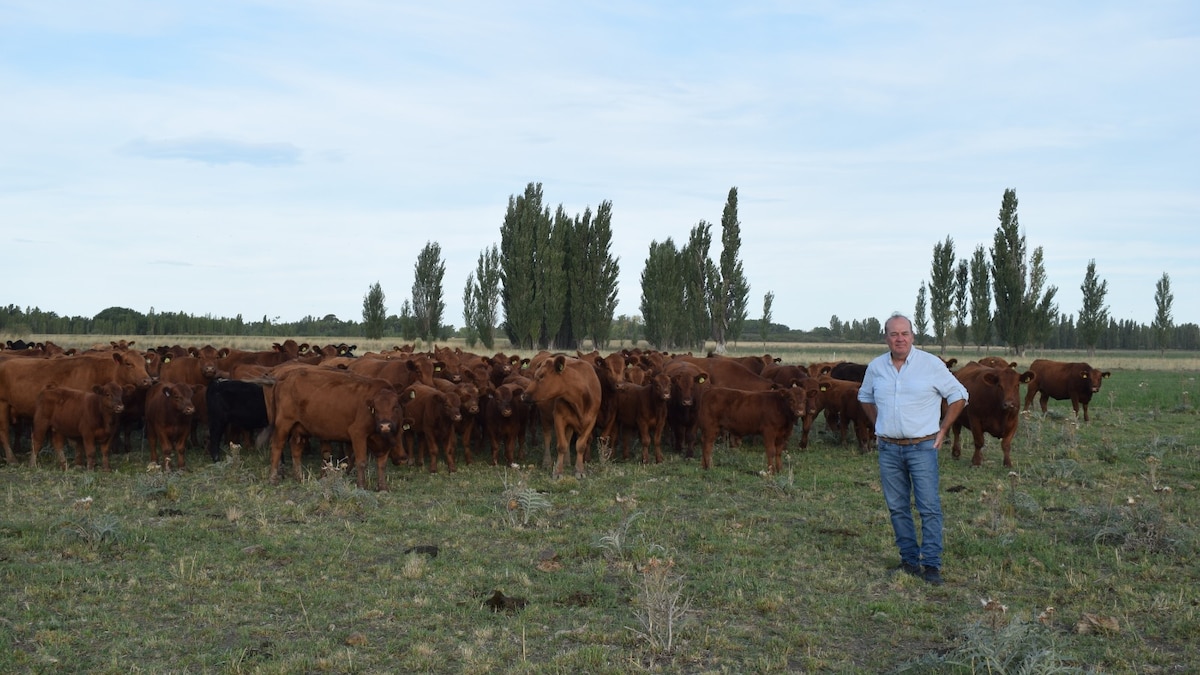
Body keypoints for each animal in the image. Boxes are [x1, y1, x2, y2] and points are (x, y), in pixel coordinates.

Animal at [266, 367, 405, 490]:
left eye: (395, 407)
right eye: (376, 409)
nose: (385, 425)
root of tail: (286, 375)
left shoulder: (385, 444)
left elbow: (382, 465)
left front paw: (383, 487)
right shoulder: (358, 434)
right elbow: (361, 461)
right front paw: (361, 486)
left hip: (300, 427)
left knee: (296, 448)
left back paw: (299, 477)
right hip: (284, 423)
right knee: (277, 446)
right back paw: (273, 479)